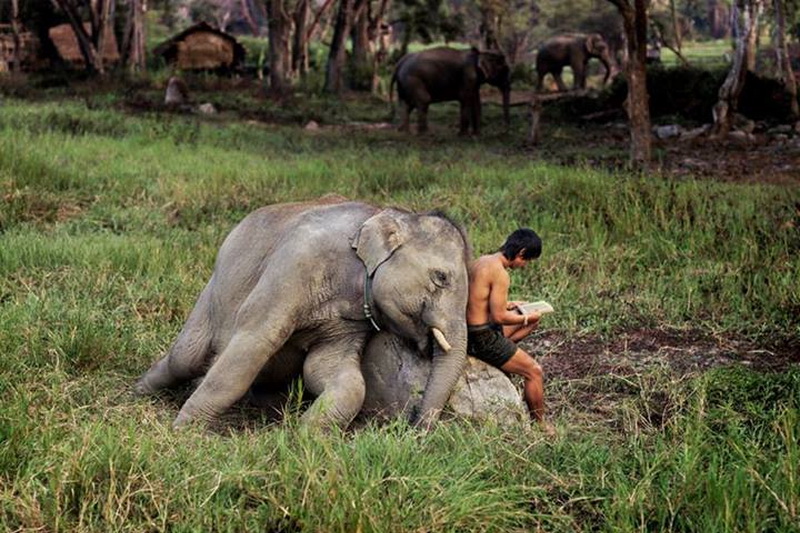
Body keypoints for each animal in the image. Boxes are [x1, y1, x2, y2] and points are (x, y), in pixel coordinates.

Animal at [136, 195, 476, 428]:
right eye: (441, 278)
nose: (415, 426)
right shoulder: (296, 262)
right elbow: (254, 342)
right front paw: (185, 431)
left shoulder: (351, 321)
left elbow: (334, 372)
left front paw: (304, 435)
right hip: (212, 294)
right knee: (186, 357)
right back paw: (139, 390)